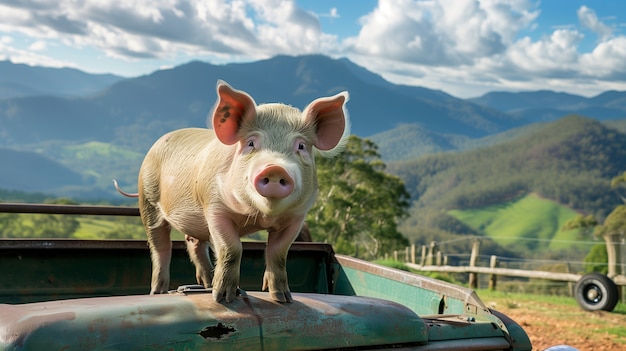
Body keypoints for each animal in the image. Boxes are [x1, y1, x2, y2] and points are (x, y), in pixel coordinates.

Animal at [116, 81, 348, 304]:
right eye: (251, 143)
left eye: (301, 146)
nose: (275, 169)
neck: (260, 216)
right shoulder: (214, 208)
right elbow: (231, 249)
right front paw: (223, 299)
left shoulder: (296, 218)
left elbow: (278, 253)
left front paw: (283, 299)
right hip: (148, 200)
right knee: (160, 247)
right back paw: (159, 292)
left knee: (195, 244)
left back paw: (206, 283)